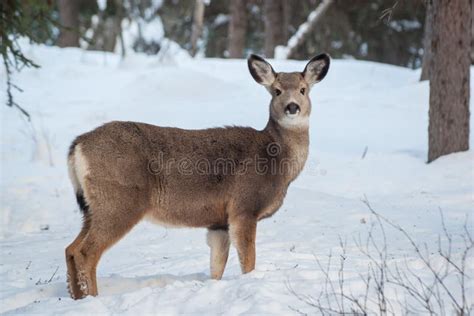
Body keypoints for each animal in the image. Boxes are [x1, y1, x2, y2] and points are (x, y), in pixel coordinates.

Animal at [65, 53, 330, 298]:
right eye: (276, 91)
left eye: (303, 89)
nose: (292, 107)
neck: (276, 160)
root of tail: (78, 145)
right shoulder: (244, 207)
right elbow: (248, 262)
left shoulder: (218, 223)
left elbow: (217, 267)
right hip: (120, 201)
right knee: (87, 252)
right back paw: (93, 298)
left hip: (93, 206)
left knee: (71, 249)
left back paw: (76, 297)